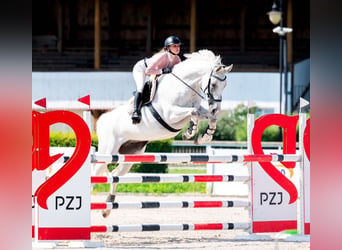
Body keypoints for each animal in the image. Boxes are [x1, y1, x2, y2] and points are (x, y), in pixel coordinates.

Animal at [95, 49, 232, 217]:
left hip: (132, 154)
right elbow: (193, 112)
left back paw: (107, 208)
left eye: (225, 85)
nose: (215, 108)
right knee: (96, 173)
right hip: (108, 151)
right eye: (213, 84)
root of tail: (102, 119)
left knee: (115, 175)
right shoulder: (170, 115)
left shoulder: (197, 110)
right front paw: (190, 132)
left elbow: (208, 117)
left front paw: (203, 136)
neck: (184, 86)